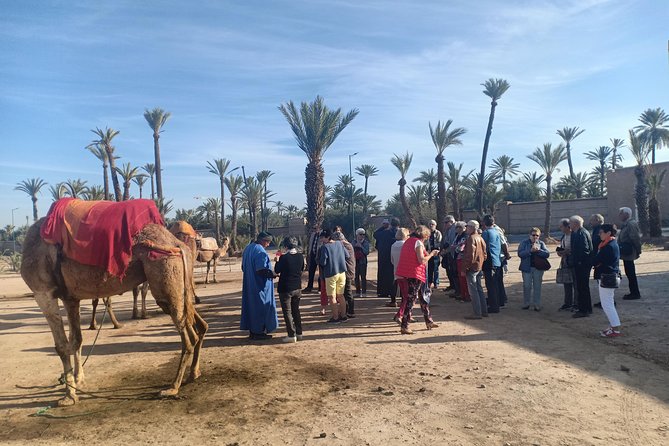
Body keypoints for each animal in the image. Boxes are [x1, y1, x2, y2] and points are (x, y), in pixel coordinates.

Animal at [21, 220, 206, 408]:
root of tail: (179, 243)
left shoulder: (43, 292)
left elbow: (61, 347)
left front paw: (68, 396)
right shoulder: (70, 298)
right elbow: (76, 340)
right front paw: (78, 380)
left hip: (165, 273)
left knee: (188, 337)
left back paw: (172, 387)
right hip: (179, 281)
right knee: (197, 326)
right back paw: (193, 374)